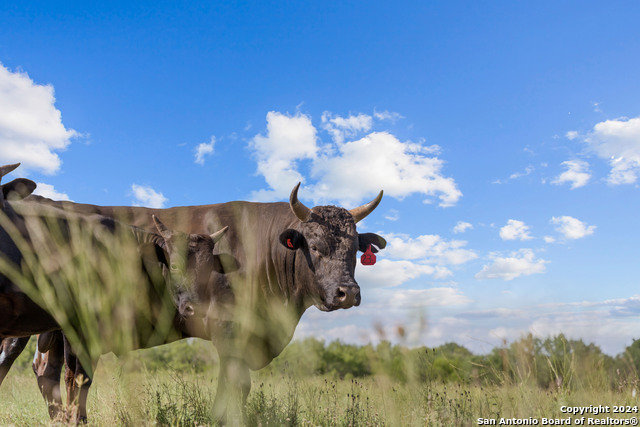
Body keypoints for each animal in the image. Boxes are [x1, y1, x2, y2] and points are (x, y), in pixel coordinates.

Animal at [3, 182, 384, 422]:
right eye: (315, 246)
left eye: (354, 249)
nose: (348, 293)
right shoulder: (229, 330)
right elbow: (237, 384)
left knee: (47, 372)